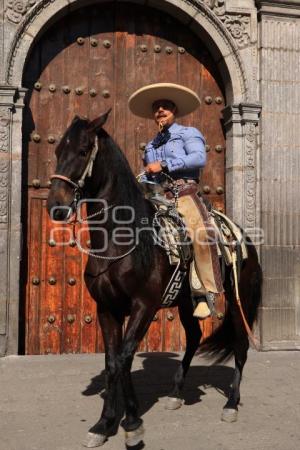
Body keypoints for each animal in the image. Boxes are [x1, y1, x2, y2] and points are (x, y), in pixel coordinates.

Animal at [47, 110, 262, 448]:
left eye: (83, 151)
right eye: (57, 150)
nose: (55, 205)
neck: (121, 240)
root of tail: (243, 236)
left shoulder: (143, 306)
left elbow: (124, 358)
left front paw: (132, 424)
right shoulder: (106, 309)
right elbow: (111, 362)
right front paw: (104, 424)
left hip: (240, 297)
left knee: (240, 344)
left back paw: (231, 403)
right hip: (187, 301)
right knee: (193, 337)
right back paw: (175, 393)